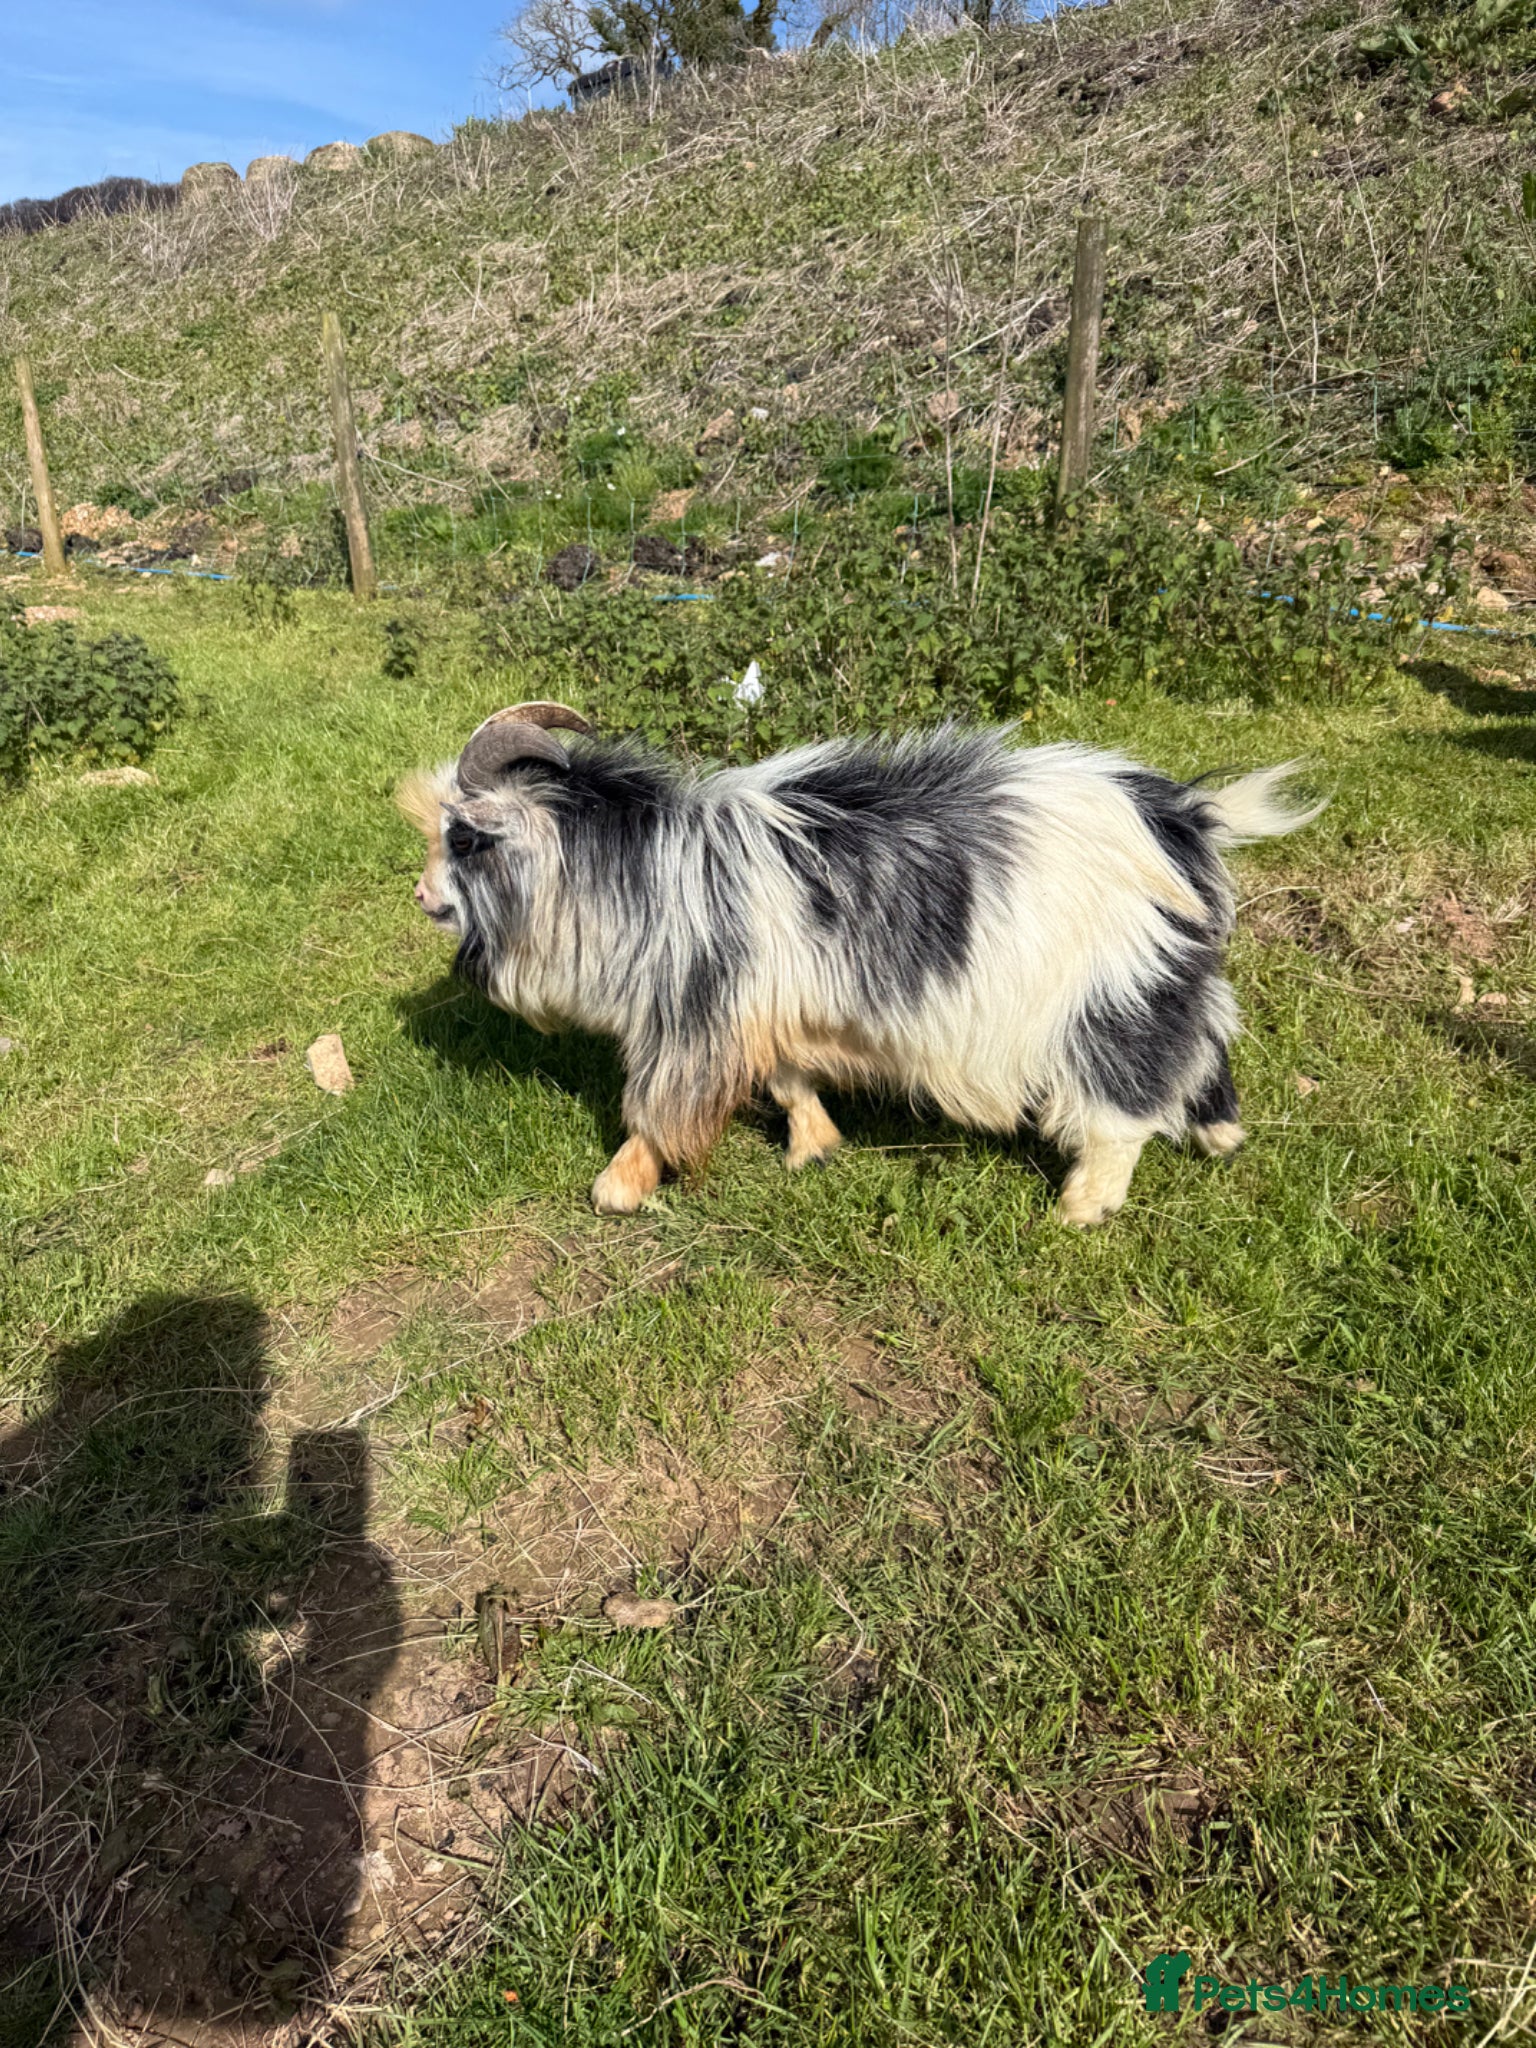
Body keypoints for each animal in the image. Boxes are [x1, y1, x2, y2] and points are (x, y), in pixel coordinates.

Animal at [401, 704, 1319, 1224]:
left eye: (464, 838)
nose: (422, 896)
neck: (637, 866)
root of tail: (1183, 816)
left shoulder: (693, 1014)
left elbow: (656, 1108)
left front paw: (619, 1189)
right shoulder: (770, 1008)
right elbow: (787, 1080)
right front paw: (814, 1148)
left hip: (1109, 994)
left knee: (1127, 1100)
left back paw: (1083, 1208)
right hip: (1169, 969)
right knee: (1208, 1038)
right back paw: (1221, 1136)